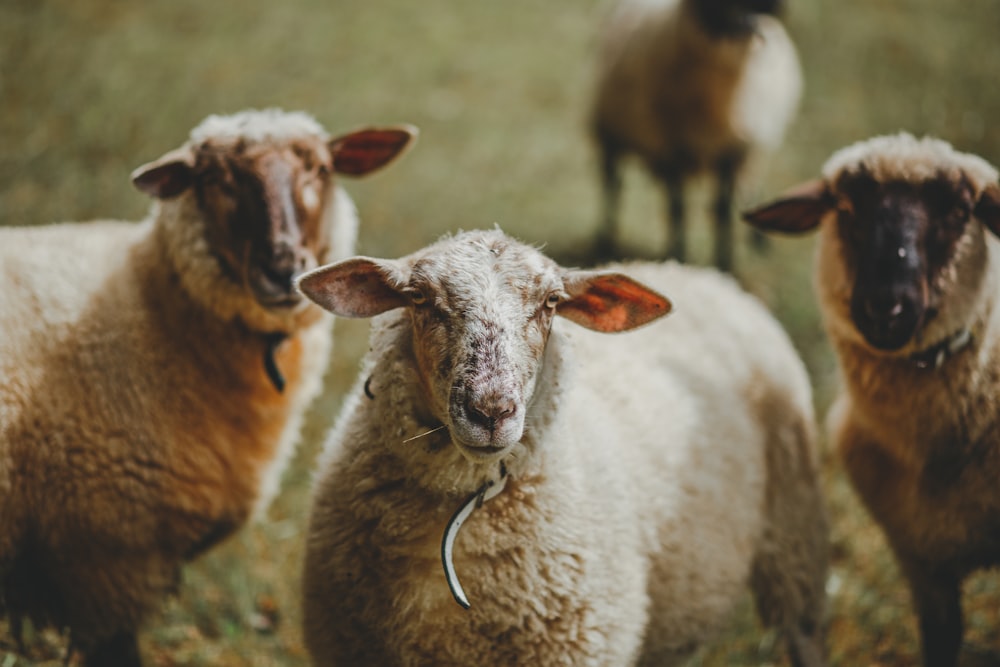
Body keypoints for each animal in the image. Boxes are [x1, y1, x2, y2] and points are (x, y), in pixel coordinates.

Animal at [588, 0, 800, 272]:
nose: (749, 26)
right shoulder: (671, 147)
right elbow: (679, 208)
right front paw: (678, 256)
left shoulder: (733, 149)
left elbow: (722, 210)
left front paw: (724, 264)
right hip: (611, 131)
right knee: (612, 183)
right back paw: (605, 237)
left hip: (752, 148)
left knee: (750, 183)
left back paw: (760, 236)